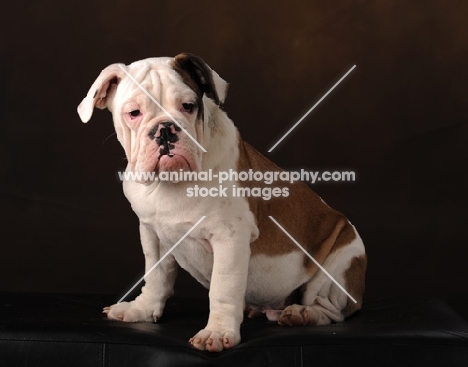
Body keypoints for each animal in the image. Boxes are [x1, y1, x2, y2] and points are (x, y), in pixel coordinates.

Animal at [78, 53, 368, 352]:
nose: (165, 129)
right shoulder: (152, 234)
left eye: (188, 106)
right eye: (134, 113)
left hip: (339, 264)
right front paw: (142, 309)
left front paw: (216, 332)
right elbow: (156, 276)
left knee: (331, 309)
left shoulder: (229, 237)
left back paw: (302, 314)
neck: (171, 182)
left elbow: (223, 286)